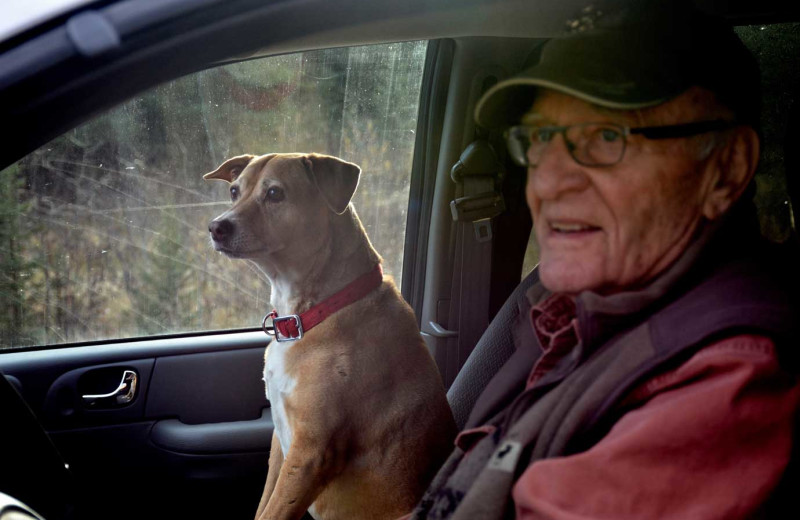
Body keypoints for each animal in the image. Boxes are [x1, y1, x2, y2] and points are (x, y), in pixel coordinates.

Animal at [205, 152, 456, 516]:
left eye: (274, 194)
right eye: (234, 191)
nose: (216, 227)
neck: (315, 312)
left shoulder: (311, 454)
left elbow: (274, 510)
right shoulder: (281, 444)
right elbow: (265, 503)